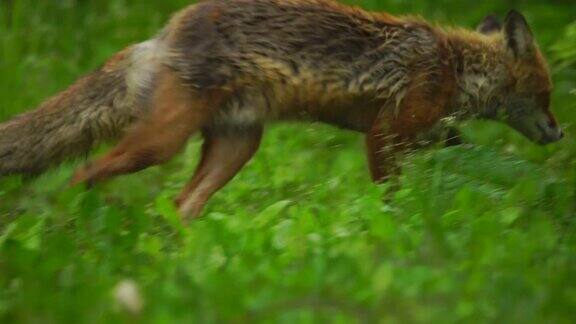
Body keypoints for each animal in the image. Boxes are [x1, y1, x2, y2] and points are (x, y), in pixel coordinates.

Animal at [0, 0, 564, 220]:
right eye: (547, 94)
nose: (559, 134)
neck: (454, 65)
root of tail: (162, 35)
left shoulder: (422, 136)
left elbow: (458, 157)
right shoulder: (385, 133)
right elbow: (391, 198)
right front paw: (396, 231)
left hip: (236, 148)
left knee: (181, 205)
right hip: (161, 144)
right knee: (85, 172)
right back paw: (69, 232)